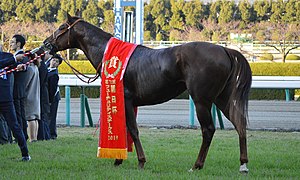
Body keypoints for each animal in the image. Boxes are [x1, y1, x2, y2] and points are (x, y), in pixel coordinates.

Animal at [43, 14, 252, 173]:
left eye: (62, 26)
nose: (46, 43)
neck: (108, 54)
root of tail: (224, 49)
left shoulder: (126, 99)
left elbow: (133, 130)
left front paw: (140, 161)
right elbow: (127, 130)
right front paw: (119, 159)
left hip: (202, 100)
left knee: (208, 130)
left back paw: (197, 165)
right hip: (222, 98)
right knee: (240, 124)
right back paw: (243, 164)